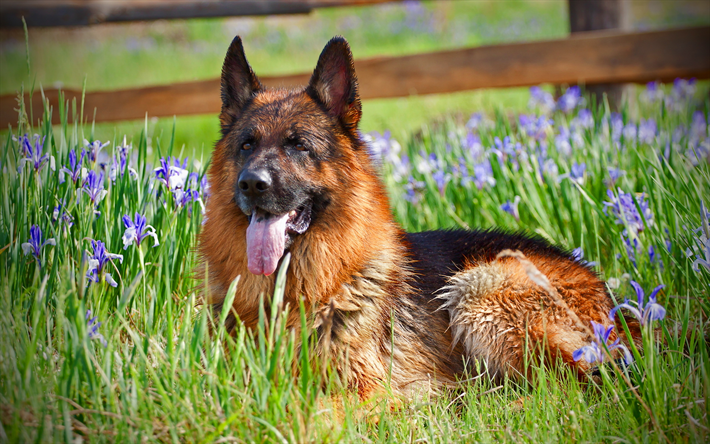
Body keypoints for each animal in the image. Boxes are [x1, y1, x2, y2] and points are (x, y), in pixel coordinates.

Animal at [199, 37, 640, 398]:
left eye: (299, 146)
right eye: (247, 145)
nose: (252, 184)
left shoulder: (364, 391)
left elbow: (315, 413)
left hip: (477, 289)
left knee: (585, 383)